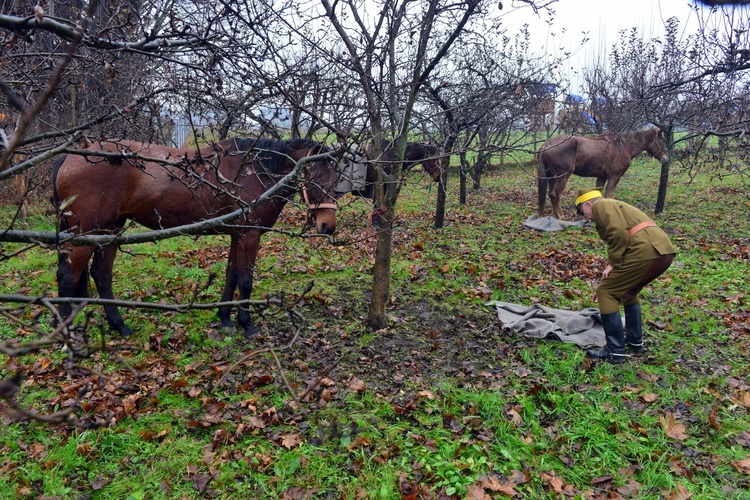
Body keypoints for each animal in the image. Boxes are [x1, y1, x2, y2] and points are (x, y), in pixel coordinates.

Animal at [50, 139, 338, 338]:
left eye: (335, 182)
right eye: (314, 179)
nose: (328, 226)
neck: (255, 172)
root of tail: (69, 158)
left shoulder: (237, 236)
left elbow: (232, 276)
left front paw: (225, 318)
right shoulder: (249, 236)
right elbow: (245, 281)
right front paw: (247, 325)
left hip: (109, 231)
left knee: (101, 275)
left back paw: (120, 326)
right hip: (89, 233)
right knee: (69, 276)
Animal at [540, 125, 668, 219]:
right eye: (662, 140)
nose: (666, 159)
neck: (623, 146)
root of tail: (547, 144)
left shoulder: (602, 177)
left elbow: (598, 195)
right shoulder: (614, 177)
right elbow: (608, 195)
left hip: (552, 177)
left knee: (551, 195)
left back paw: (556, 216)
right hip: (562, 177)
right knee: (555, 195)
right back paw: (561, 216)